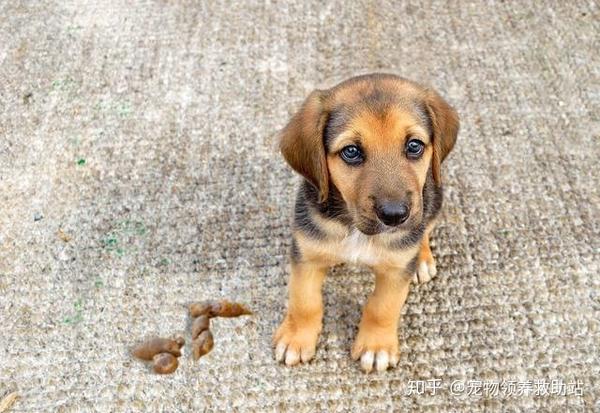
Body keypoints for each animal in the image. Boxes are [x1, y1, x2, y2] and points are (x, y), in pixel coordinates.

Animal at [274, 72, 460, 372]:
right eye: (351, 151)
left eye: (414, 146)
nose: (395, 215)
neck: (355, 229)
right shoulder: (306, 255)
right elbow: (304, 301)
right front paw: (296, 338)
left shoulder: (395, 271)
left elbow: (382, 307)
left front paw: (376, 346)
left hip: (434, 200)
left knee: (424, 231)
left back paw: (422, 259)